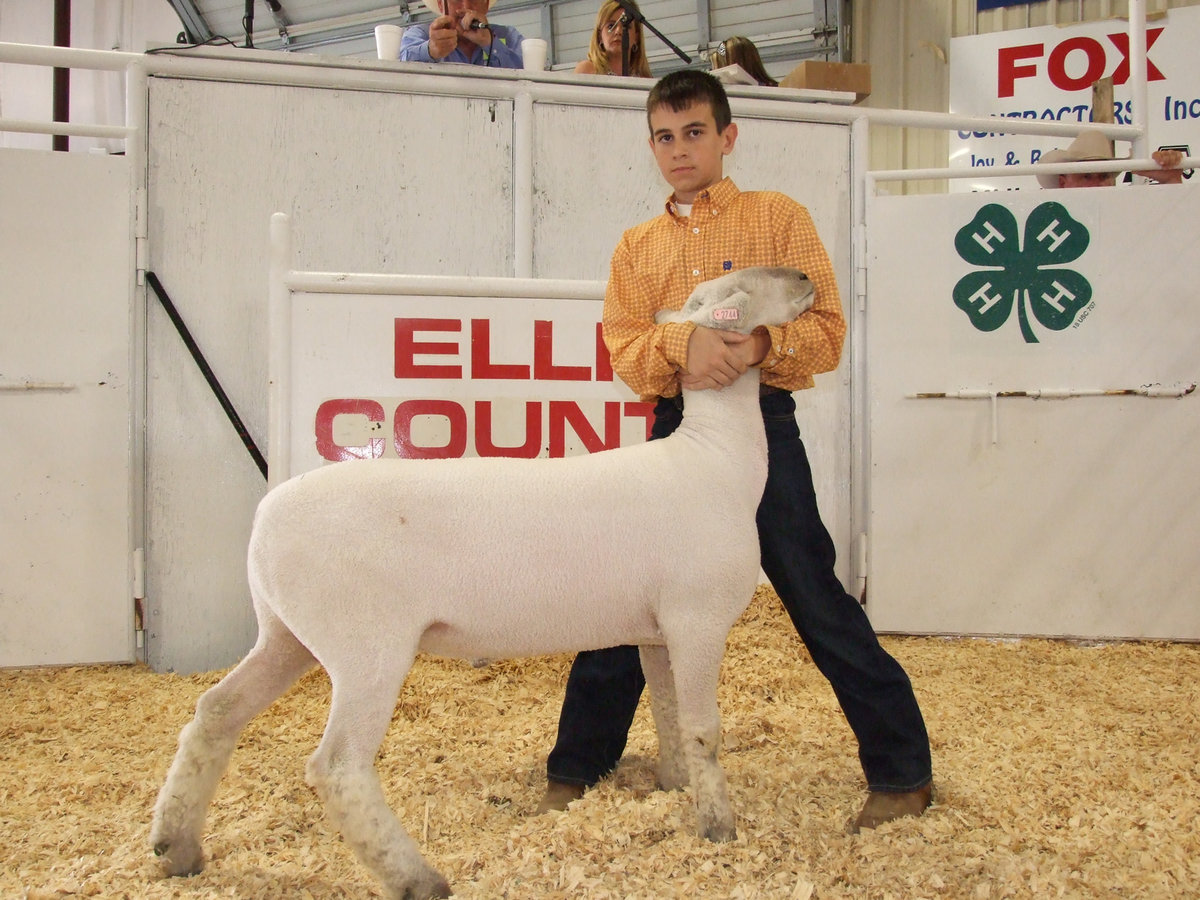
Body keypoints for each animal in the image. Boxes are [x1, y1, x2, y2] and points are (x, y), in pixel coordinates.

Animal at [149, 266, 814, 900]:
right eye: (743, 282)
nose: (808, 278)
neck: (716, 460)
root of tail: (265, 517)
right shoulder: (698, 618)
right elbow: (703, 729)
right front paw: (718, 826)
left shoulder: (657, 629)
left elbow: (669, 711)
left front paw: (676, 788)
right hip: (366, 645)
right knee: (337, 765)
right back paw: (417, 879)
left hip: (286, 633)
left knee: (216, 711)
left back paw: (175, 846)